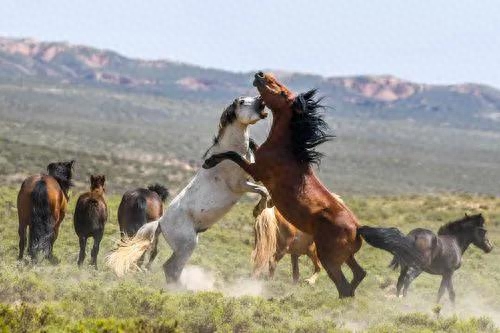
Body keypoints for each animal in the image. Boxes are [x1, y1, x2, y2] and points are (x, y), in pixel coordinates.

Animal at [106, 95, 270, 280]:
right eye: (241, 102)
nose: (261, 100)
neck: (232, 148)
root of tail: (161, 223)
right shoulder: (240, 185)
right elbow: (263, 191)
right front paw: (258, 209)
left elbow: (263, 191)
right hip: (188, 244)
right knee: (171, 268)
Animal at [203, 72, 368, 296]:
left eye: (282, 92)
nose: (260, 74)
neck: (286, 149)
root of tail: (358, 230)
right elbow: (251, 146)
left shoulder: (256, 171)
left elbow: (233, 155)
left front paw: (210, 161)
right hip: (345, 257)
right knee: (359, 274)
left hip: (328, 258)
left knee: (342, 285)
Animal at [360, 214, 492, 302]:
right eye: (484, 231)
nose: (490, 247)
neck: (455, 241)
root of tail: (413, 236)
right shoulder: (449, 272)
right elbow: (445, 293)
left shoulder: (446, 274)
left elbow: (448, 293)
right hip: (418, 267)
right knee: (407, 280)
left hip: (405, 266)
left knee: (400, 281)